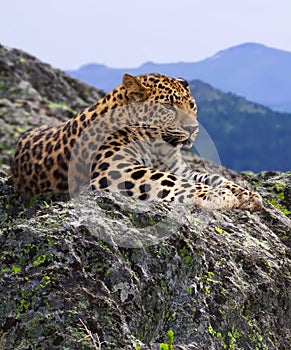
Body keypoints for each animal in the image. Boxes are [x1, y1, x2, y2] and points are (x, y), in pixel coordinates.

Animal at [12, 72, 264, 211]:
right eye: (167, 107)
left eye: (191, 105)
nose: (193, 129)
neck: (160, 147)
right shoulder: (114, 169)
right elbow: (168, 179)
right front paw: (218, 196)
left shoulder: (180, 168)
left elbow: (212, 176)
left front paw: (245, 194)